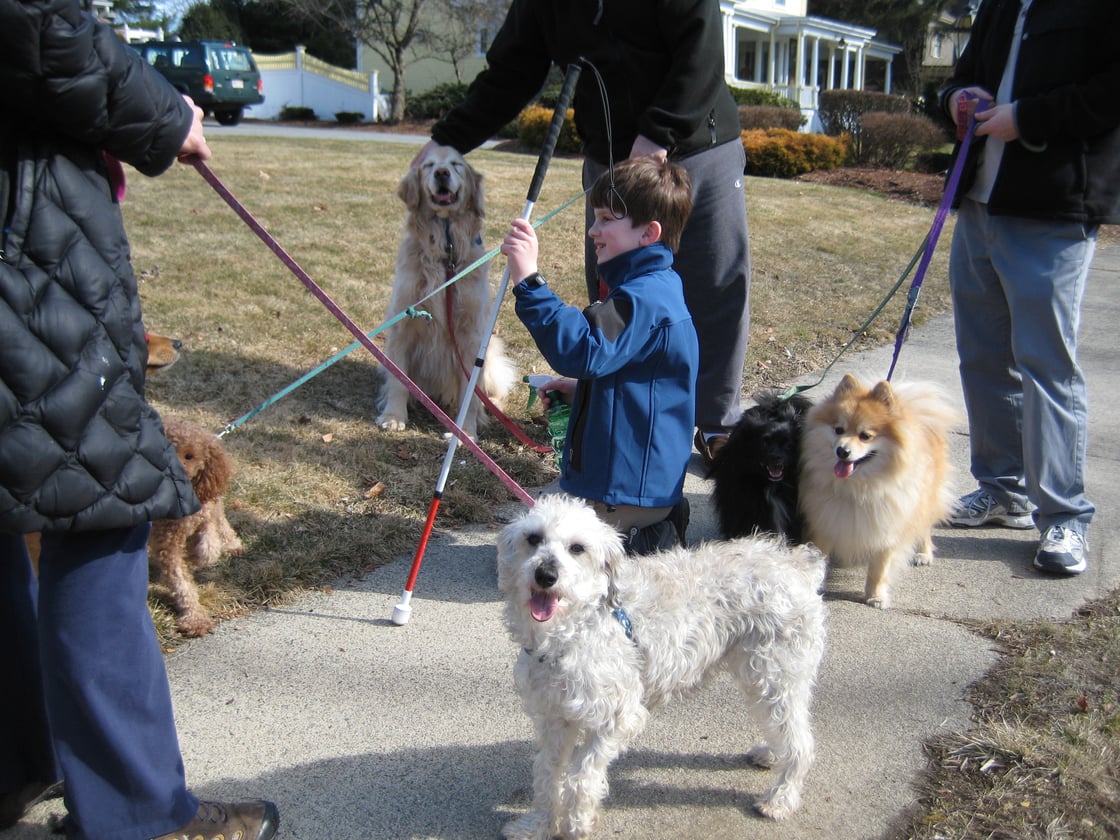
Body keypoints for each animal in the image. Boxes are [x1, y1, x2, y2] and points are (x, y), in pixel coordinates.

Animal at [495, 497, 828, 837]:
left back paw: (780, 799)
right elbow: (546, 775)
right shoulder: (554, 717)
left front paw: (578, 823)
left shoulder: (617, 718)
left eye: (578, 548)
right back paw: (772, 755)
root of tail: (796, 564)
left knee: (801, 744)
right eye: (533, 538)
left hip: (777, 677)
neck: (570, 632)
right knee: (785, 731)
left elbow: (582, 778)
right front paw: (537, 826)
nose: (545, 574)